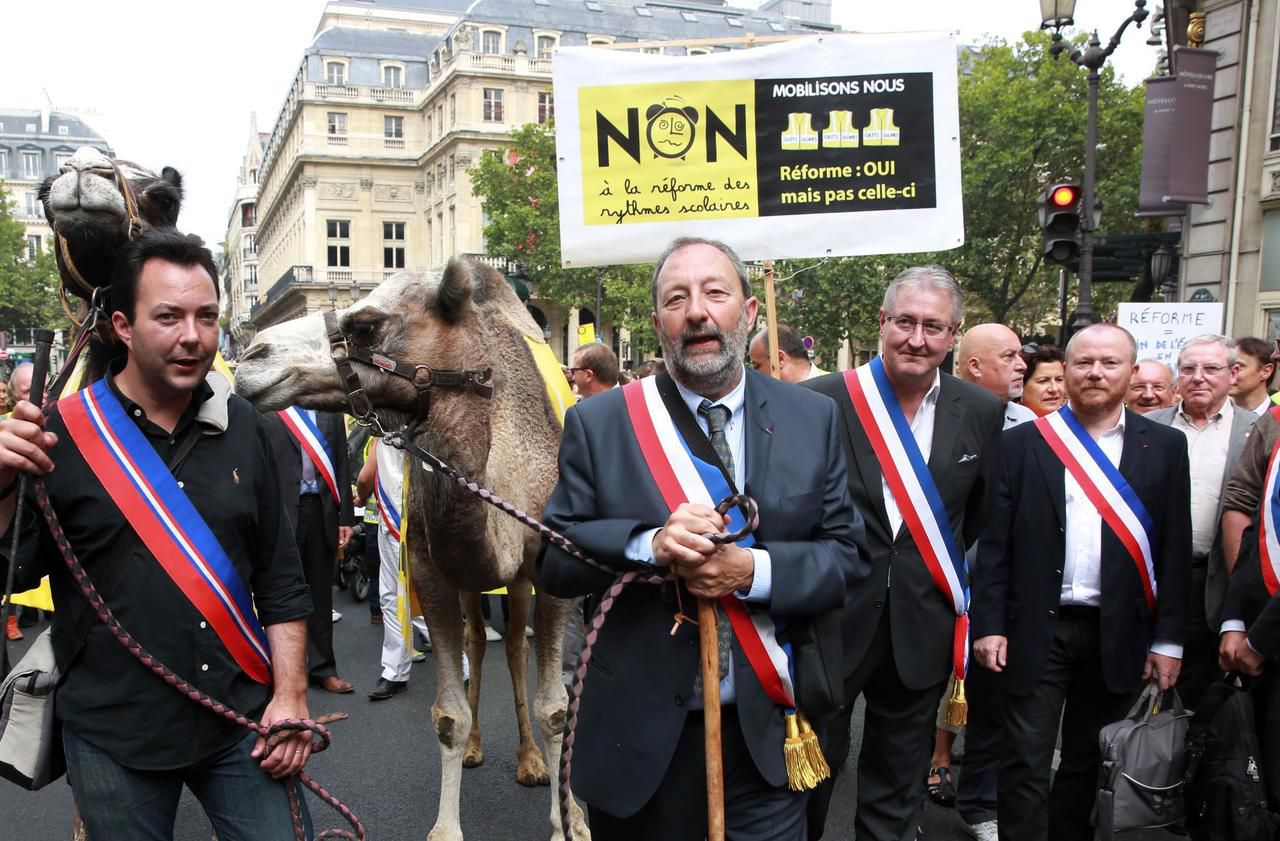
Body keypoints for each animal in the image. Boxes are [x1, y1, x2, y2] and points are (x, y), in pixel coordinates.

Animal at [236, 258, 588, 834]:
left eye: (365, 324)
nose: (250, 358)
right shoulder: (433, 570)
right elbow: (448, 715)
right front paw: (446, 828)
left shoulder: (551, 570)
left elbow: (555, 707)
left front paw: (569, 823)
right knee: (479, 641)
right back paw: (479, 749)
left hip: (517, 582)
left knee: (515, 645)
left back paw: (532, 762)